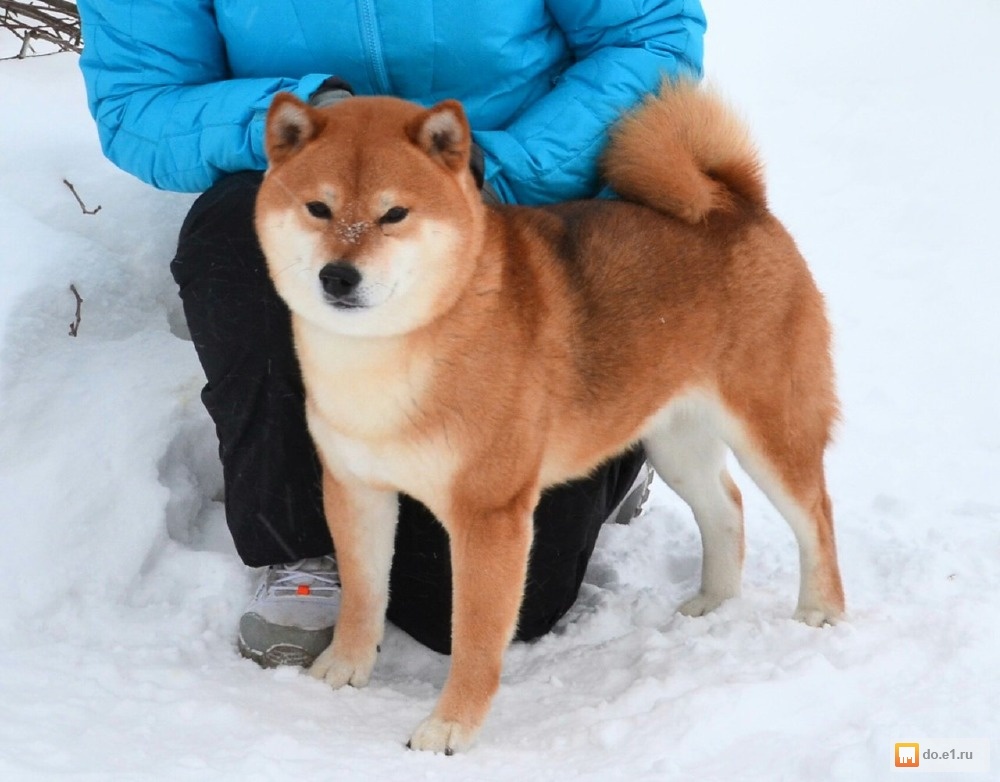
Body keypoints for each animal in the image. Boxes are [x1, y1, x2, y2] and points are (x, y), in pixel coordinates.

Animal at [252, 82, 844, 756]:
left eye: (394, 214)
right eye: (318, 209)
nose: (339, 276)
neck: (391, 353)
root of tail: (736, 201)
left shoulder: (490, 513)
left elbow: (476, 636)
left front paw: (451, 725)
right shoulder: (356, 486)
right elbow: (362, 592)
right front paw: (345, 667)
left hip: (769, 427)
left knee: (815, 514)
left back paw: (820, 611)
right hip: (675, 441)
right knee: (727, 507)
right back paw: (713, 602)